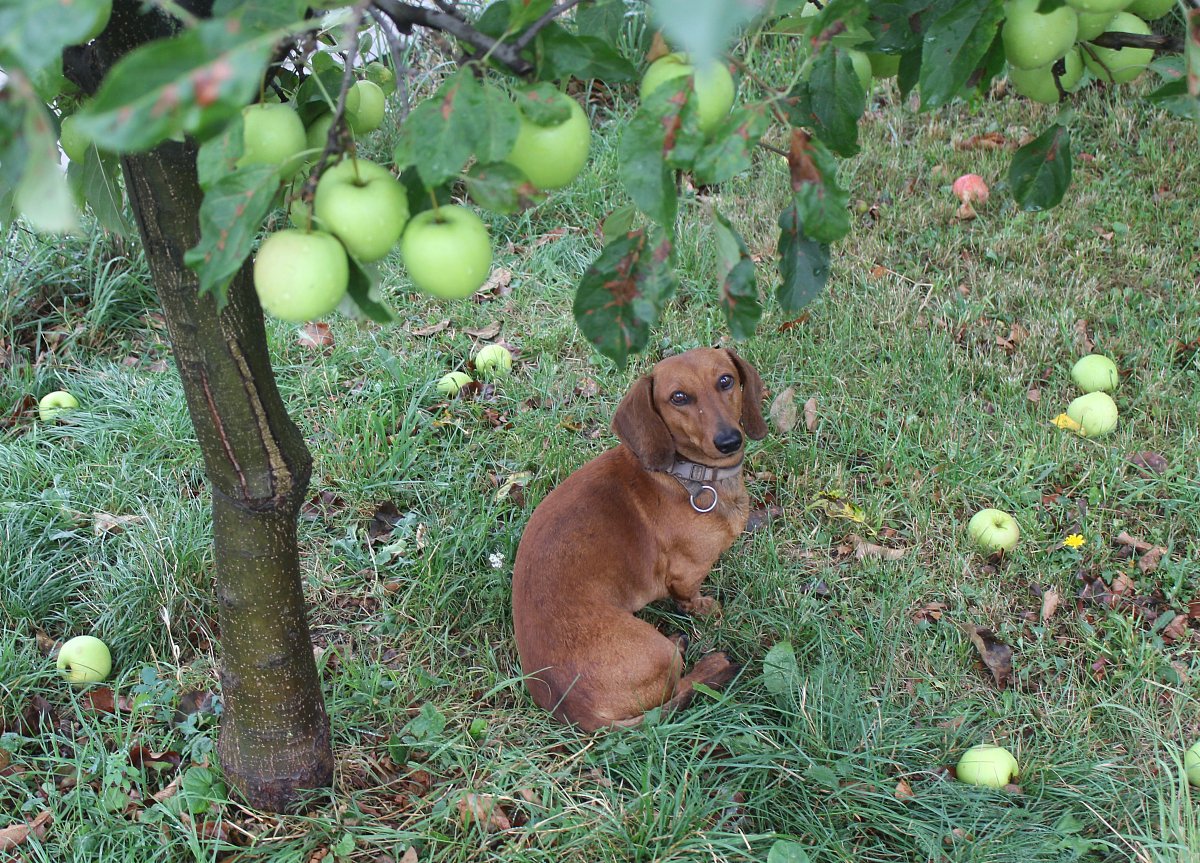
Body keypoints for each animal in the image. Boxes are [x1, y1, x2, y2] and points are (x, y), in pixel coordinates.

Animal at [512, 347, 767, 731]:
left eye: (726, 380)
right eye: (678, 397)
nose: (729, 441)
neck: (686, 476)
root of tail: (577, 713)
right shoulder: (687, 573)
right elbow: (689, 598)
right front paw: (706, 609)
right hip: (654, 650)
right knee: (677, 688)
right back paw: (710, 668)